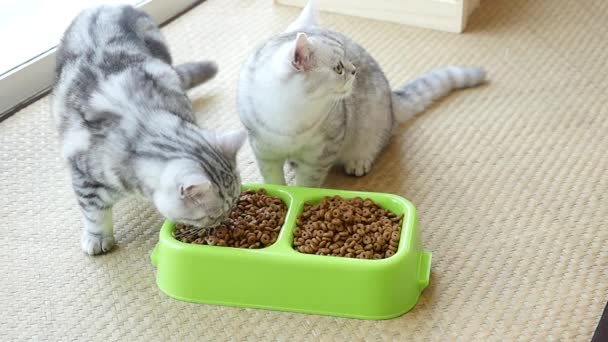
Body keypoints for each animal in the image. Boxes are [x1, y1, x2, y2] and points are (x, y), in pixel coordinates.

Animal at [53, 5, 245, 255]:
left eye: (234, 204)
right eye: (213, 215)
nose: (224, 221)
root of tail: (109, 6)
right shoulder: (83, 176)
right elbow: (94, 214)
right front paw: (97, 238)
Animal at [236, 0, 484, 187]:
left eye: (347, 58)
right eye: (338, 68)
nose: (354, 70)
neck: (290, 116)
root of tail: (392, 99)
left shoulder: (323, 150)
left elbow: (308, 183)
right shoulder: (263, 148)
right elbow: (273, 179)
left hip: (373, 121)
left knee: (376, 143)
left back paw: (359, 160)